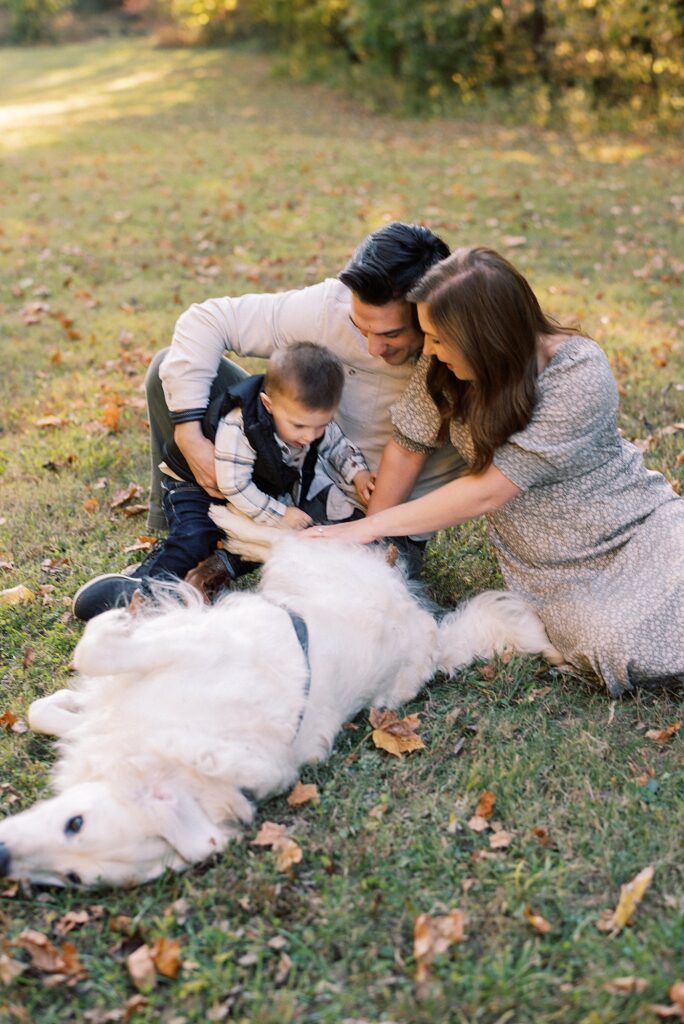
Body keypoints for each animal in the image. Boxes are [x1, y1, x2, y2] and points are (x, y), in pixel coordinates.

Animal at [0, 528, 557, 888]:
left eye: (74, 831)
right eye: (70, 876)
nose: (4, 859)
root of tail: (435, 641)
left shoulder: (195, 641)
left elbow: (94, 652)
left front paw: (108, 633)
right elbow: (47, 708)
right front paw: (70, 703)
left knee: (291, 535)